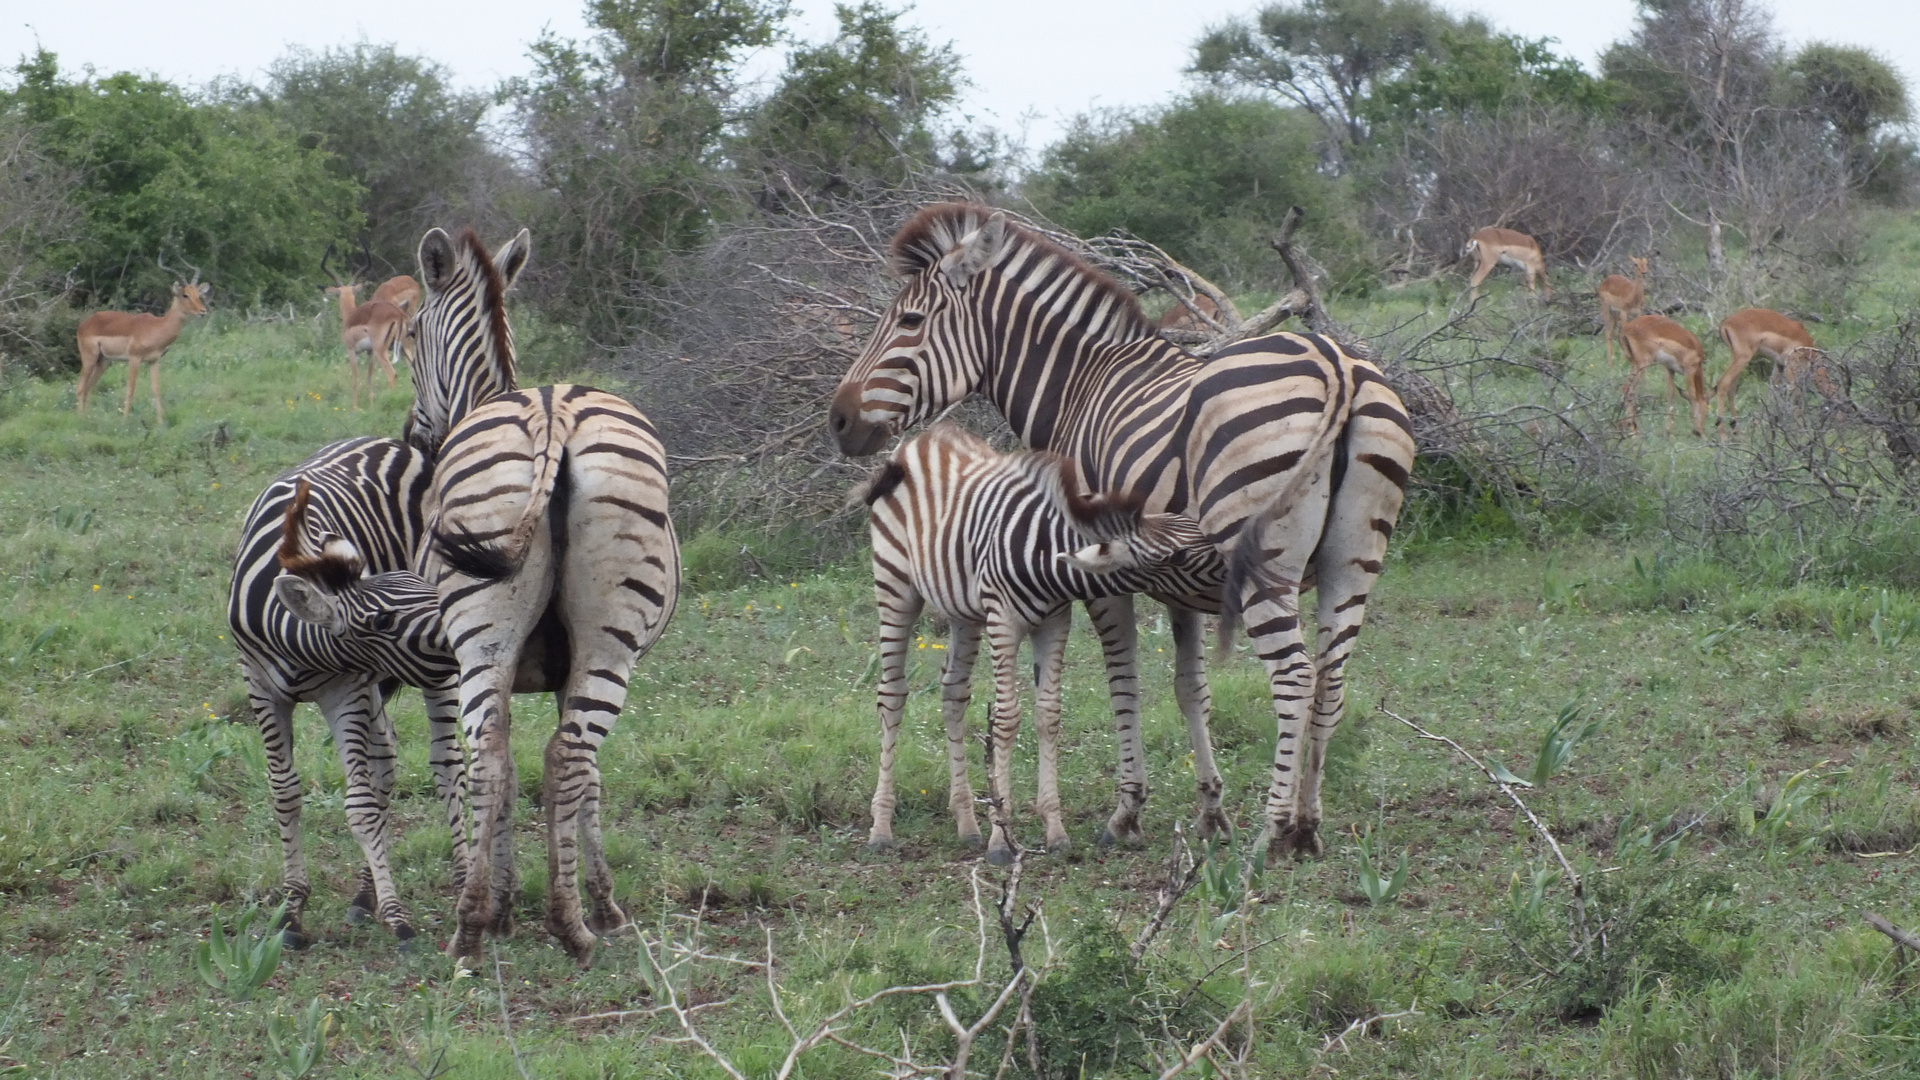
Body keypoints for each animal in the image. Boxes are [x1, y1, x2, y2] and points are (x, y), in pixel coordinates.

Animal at [227, 438, 468, 941]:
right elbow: (285, 792)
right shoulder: (259, 685)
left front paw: (397, 917)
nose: (463, 619)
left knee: (447, 765)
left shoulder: (345, 689)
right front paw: (293, 908)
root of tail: (397, 443)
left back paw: (463, 882)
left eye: (424, 586)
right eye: (383, 620)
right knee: (386, 755)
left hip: (425, 678)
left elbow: (360, 804)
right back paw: (363, 897)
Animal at [401, 222, 679, 960]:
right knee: (564, 756)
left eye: (409, 335)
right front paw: (600, 903)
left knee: (494, 757)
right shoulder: (566, 667)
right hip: (606, 640)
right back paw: (566, 921)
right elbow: (587, 780)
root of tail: (554, 414)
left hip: (482, 638)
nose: (416, 433)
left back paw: (478, 925)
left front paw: (512, 901)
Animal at [825, 203, 1413, 857]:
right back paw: (1308, 825)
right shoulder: (1183, 587)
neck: (1079, 386)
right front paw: (1210, 811)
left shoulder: (1099, 572)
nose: (839, 421)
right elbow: (1190, 688)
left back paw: (1272, 831)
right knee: (1331, 680)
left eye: (909, 319)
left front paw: (1127, 812)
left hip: (1267, 560)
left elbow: (1122, 681)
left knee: (1294, 677)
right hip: (1353, 561)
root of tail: (1337, 363)